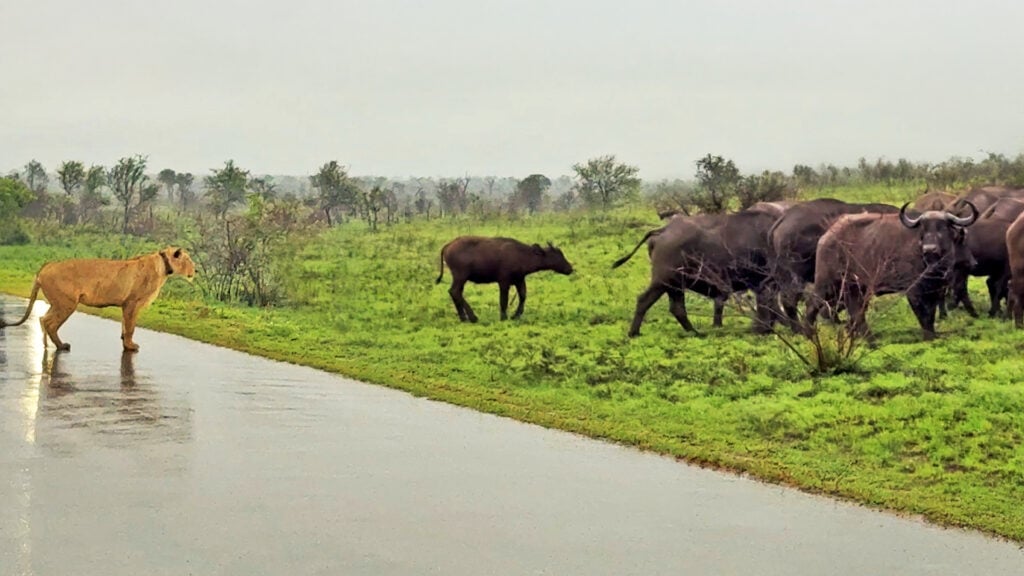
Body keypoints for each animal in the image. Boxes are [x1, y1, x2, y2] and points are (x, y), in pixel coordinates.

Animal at [0, 247, 196, 352]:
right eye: (189, 260)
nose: (197, 270)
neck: (163, 265)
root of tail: (46, 267)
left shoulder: (126, 305)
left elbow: (125, 325)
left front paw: (124, 342)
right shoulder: (132, 303)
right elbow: (131, 327)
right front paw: (130, 346)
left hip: (57, 302)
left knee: (42, 318)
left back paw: (47, 344)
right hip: (67, 303)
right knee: (49, 322)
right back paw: (61, 346)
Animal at [435, 236, 573, 322]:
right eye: (557, 256)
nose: (570, 268)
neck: (521, 255)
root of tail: (448, 245)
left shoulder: (519, 280)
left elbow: (523, 296)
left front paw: (516, 315)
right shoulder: (504, 282)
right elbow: (504, 300)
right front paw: (504, 317)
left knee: (455, 293)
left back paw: (465, 317)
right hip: (460, 276)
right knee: (454, 292)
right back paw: (471, 317)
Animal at [613, 208, 780, 337]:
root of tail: (664, 230)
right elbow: (769, 307)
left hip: (675, 286)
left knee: (677, 308)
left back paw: (694, 332)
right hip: (664, 281)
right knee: (644, 300)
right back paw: (634, 333)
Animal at [807, 202, 978, 341]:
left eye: (942, 228)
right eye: (924, 229)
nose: (929, 249)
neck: (932, 265)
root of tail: (826, 236)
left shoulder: (934, 291)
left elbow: (931, 315)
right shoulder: (913, 291)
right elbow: (923, 316)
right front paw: (929, 338)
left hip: (855, 288)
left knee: (855, 313)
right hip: (826, 284)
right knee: (813, 306)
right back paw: (808, 335)